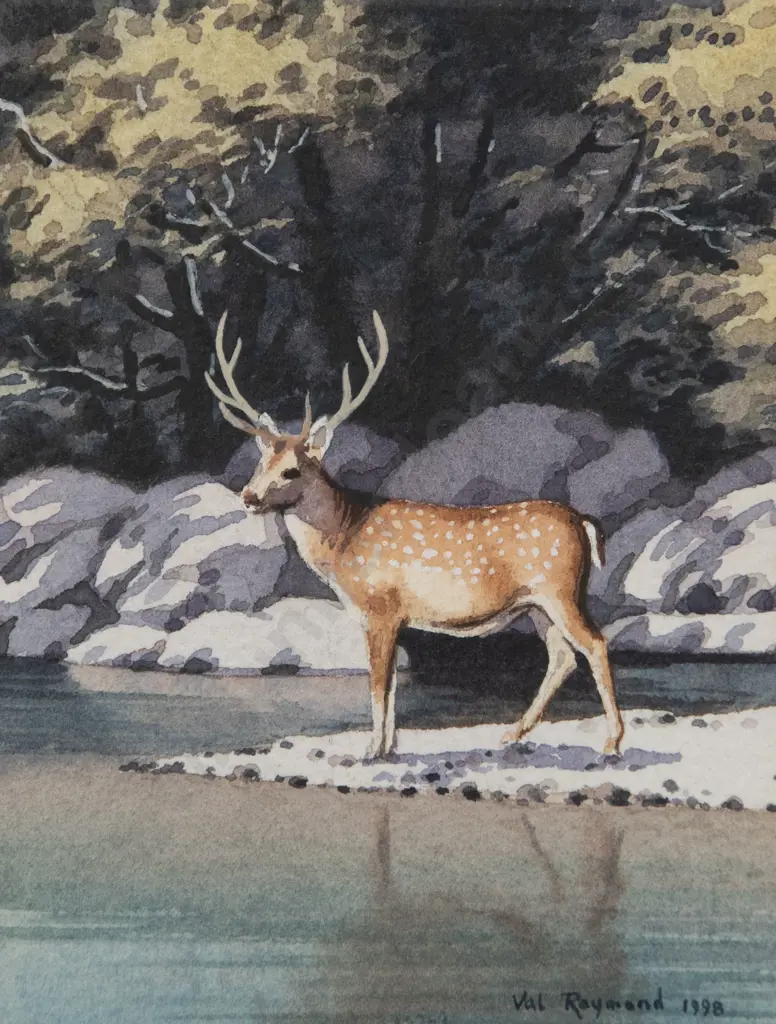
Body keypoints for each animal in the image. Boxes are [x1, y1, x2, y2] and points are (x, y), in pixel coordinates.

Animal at [205, 310, 625, 761]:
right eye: (260, 463)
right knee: (563, 657)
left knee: (595, 644)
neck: (342, 540)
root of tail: (583, 522)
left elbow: (378, 685)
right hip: (536, 604)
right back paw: (513, 733)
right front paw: (389, 746)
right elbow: (389, 687)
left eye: (291, 471)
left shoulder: (381, 609)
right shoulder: (389, 616)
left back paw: (612, 741)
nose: (248, 497)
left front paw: (371, 749)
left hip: (559, 588)